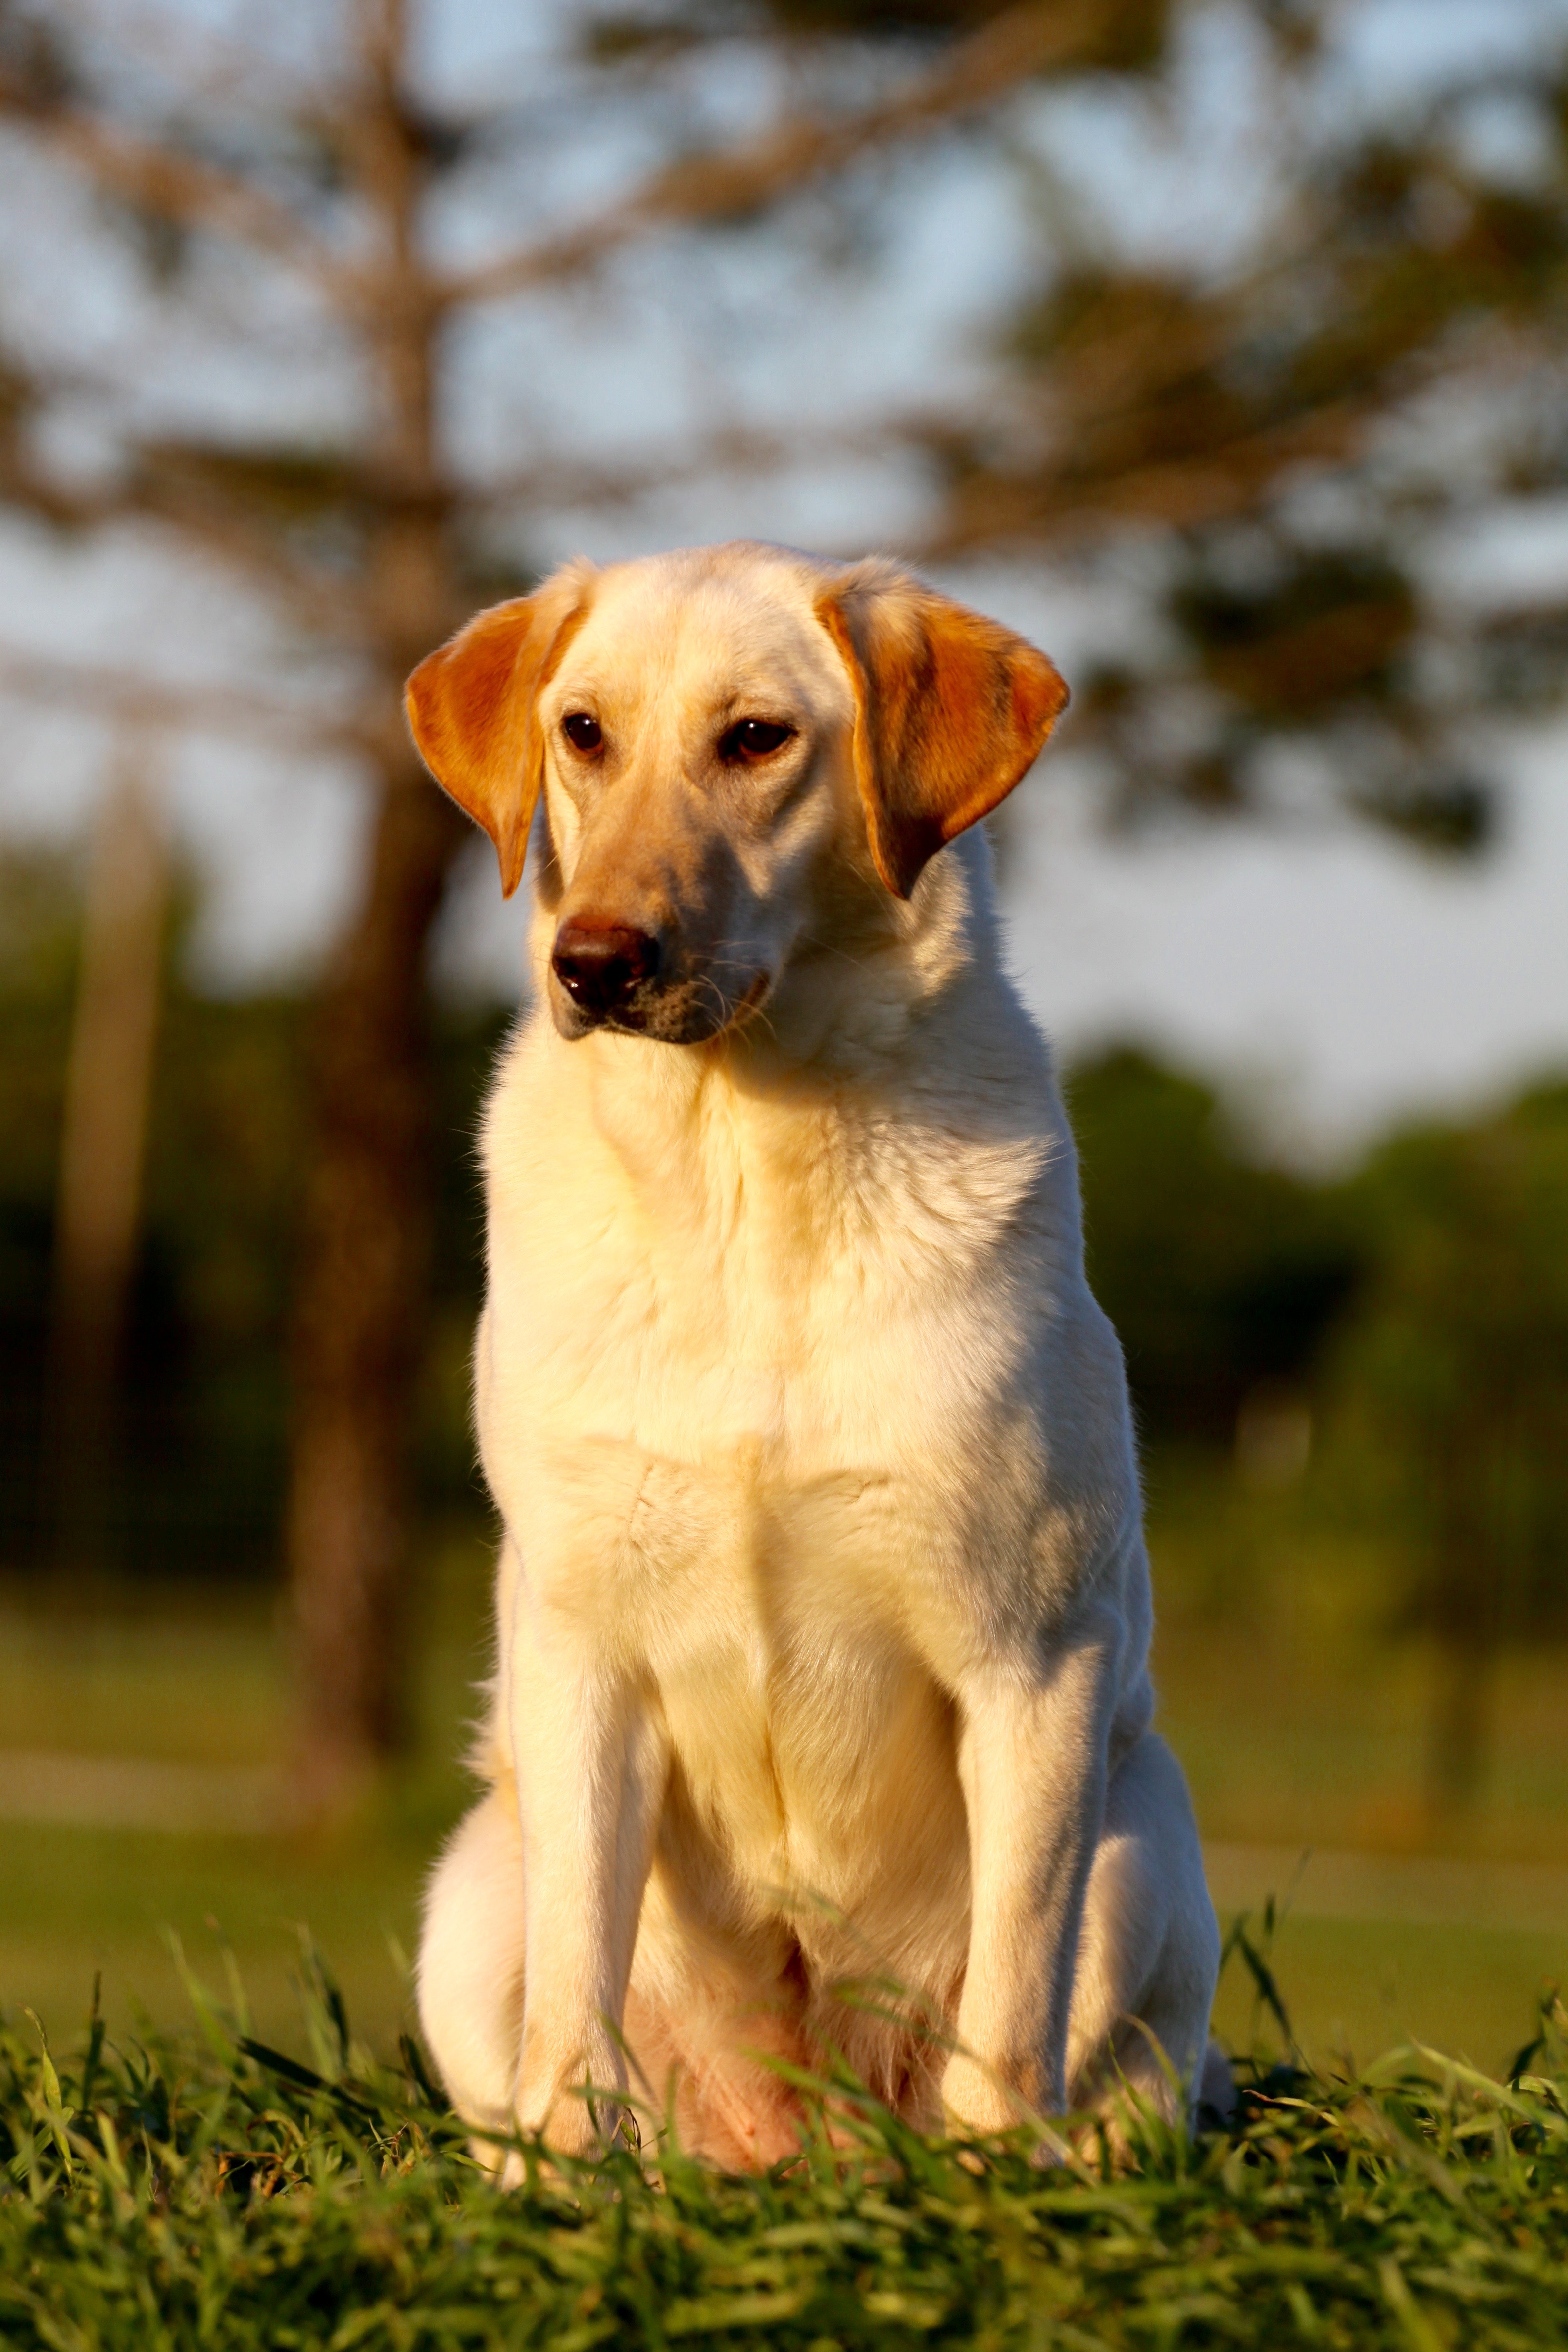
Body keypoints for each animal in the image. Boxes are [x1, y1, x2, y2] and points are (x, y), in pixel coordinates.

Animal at [404, 539, 1222, 2163]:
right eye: (581, 732)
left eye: (756, 738)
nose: (597, 961)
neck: (739, 1168)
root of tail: (800, 2147)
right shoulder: (582, 1645)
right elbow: (575, 1997)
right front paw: (569, 2184)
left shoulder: (1034, 1662)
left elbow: (1007, 2010)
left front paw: (994, 2192)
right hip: (469, 1890)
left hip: (1144, 1852)